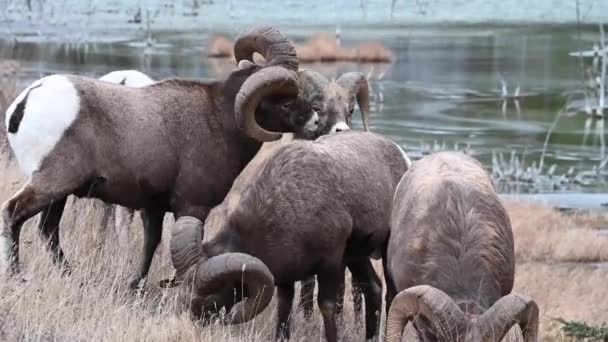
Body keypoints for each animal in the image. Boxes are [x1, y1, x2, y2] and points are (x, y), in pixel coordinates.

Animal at [0, 26, 320, 288]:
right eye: (286, 101)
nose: (316, 122)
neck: (219, 120)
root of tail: (24, 104)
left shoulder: (153, 207)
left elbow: (150, 245)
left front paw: (136, 285)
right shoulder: (191, 206)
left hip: (59, 194)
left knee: (47, 230)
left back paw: (71, 276)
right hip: (51, 185)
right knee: (14, 214)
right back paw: (17, 275)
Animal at [169, 132, 410, 342]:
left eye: (211, 298)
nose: (190, 325)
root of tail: (401, 157)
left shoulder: (330, 263)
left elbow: (327, 307)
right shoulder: (286, 279)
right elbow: (284, 312)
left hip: (383, 251)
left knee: (390, 295)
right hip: (356, 257)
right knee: (374, 288)